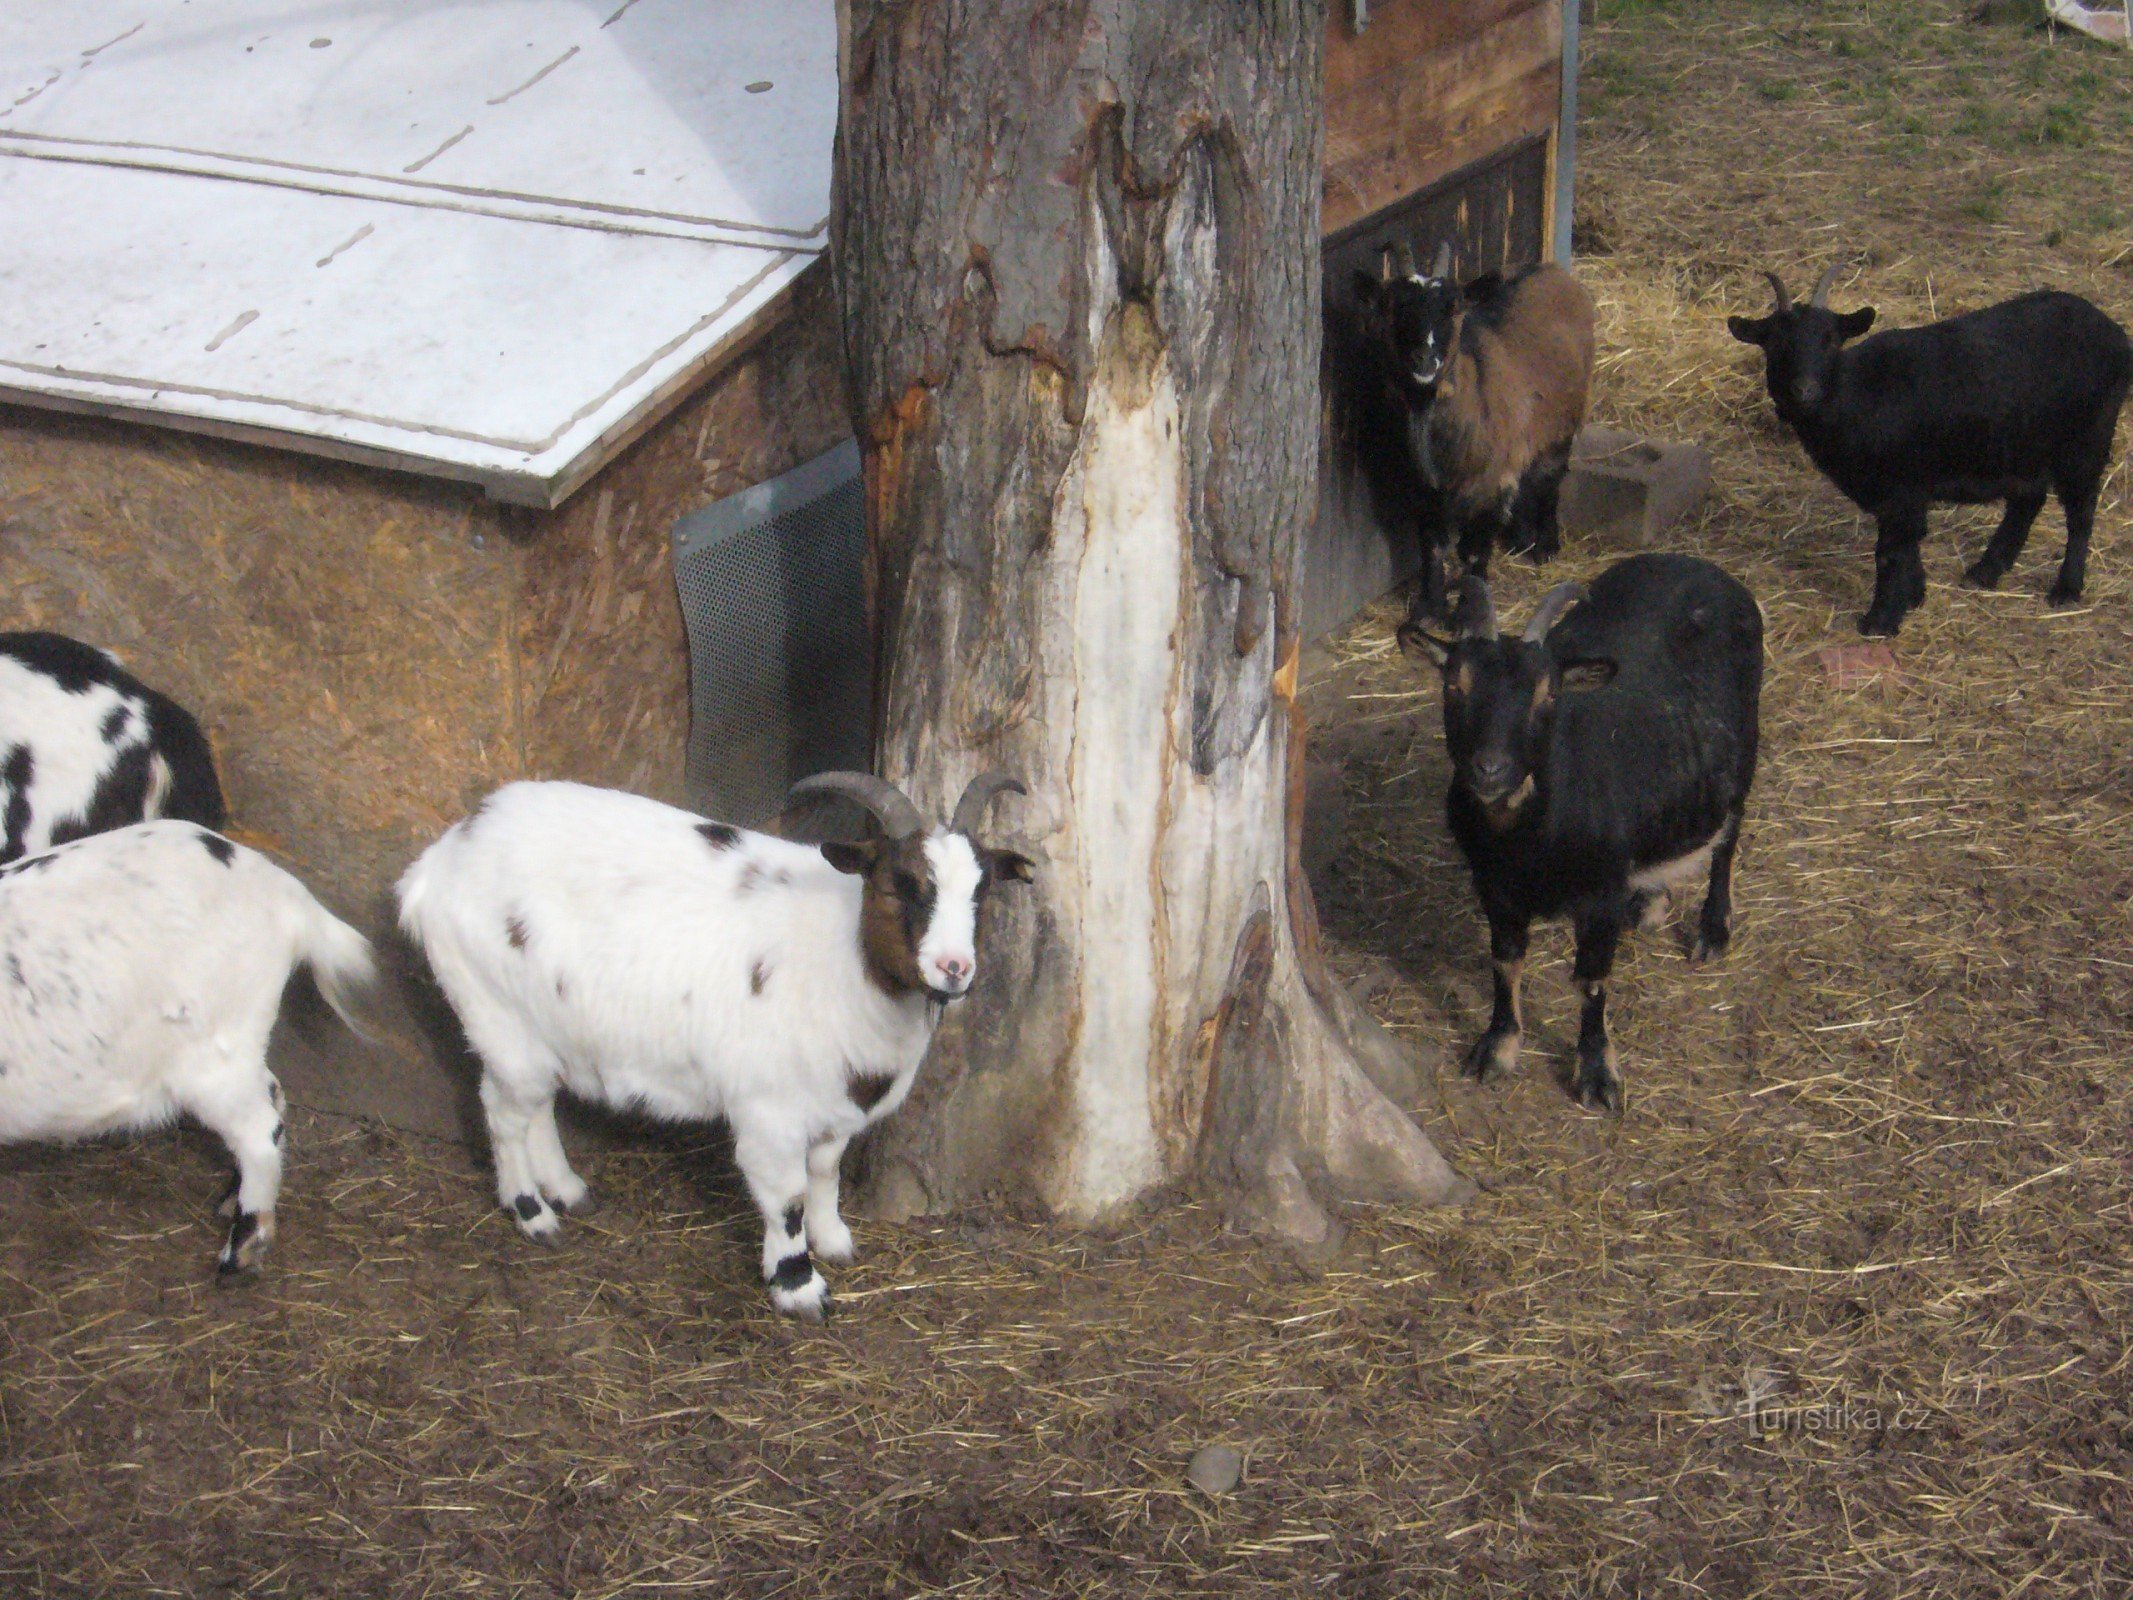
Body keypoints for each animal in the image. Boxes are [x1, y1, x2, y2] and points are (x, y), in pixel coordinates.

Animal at [0, 827, 375, 1280]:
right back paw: (230, 1200)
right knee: (272, 1093)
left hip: (212, 1052)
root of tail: (285, 892)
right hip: (236, 1039)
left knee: (259, 1131)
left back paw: (239, 1253)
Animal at [403, 772, 1036, 1314]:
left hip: (542, 1028)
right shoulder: (769, 1111)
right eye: (897, 886)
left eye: (981, 893)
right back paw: (533, 1214)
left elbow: (826, 1171)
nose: (954, 969)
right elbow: (786, 1196)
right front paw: (799, 1286)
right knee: (503, 1111)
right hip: (498, 1016)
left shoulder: (835, 1104)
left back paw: (567, 1189)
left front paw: (834, 1240)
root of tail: (435, 865)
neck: (844, 960)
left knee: (535, 1105)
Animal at [1356, 241, 1595, 622]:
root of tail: (1553, 271)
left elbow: (1473, 550)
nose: (1424, 360)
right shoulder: (1425, 489)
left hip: (1562, 421)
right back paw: (1522, 539)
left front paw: (1468, 612)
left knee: (1549, 476)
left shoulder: (1488, 483)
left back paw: (1545, 545)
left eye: (1453, 308)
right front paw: (1429, 608)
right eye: (1395, 306)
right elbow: (1432, 544)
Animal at [1390, 558, 1757, 1117]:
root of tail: (1700, 565)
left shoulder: (1600, 894)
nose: (1490, 770)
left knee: (1727, 838)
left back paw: (1713, 930)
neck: (1527, 842)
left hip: (1743, 751)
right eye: (1454, 685)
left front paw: (1597, 1073)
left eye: (1550, 695)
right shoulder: (1494, 886)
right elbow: (1505, 962)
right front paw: (1497, 1048)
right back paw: (1650, 901)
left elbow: (1592, 980)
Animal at [1723, 266, 2124, 635]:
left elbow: (1890, 553)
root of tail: (2118, 334)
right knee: (2028, 501)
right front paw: (1914, 595)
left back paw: (2066, 589)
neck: (1856, 394)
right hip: (2026, 447)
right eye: (1773, 342)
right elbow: (1911, 541)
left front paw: (1880, 621)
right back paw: (1985, 571)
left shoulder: (1901, 488)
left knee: (2081, 512)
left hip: (2087, 441)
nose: (1804, 390)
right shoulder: (1905, 494)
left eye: (1831, 339)